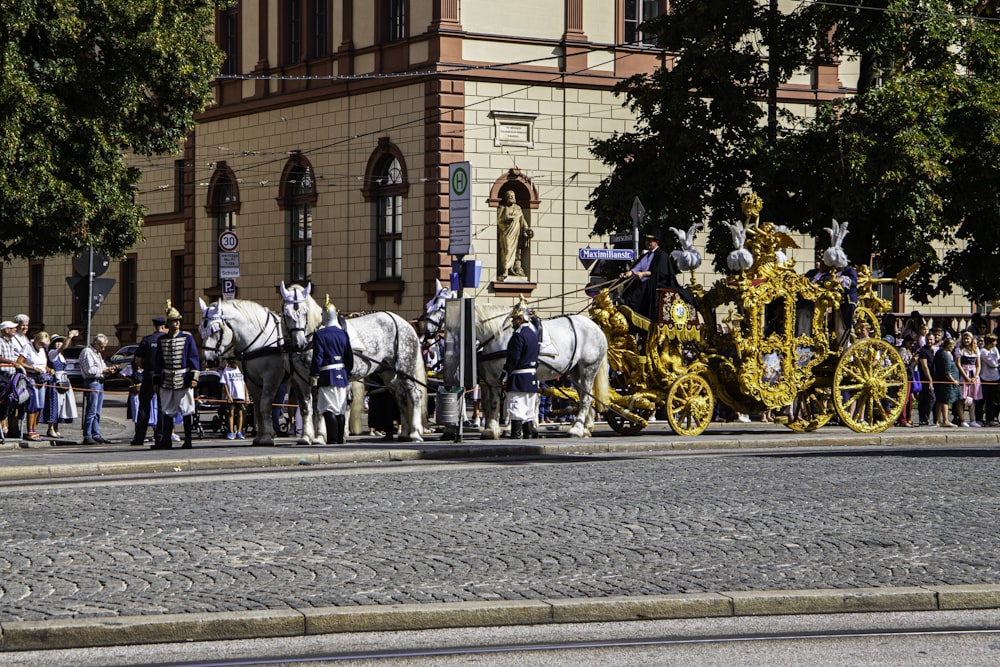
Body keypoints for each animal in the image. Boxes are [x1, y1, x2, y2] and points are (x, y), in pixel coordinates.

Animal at [200, 298, 316, 446]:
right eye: (201, 330)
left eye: (215, 329)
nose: (209, 361)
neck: (259, 341)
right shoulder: (251, 380)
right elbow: (257, 408)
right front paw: (260, 437)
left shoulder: (271, 378)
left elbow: (264, 405)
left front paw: (267, 437)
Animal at [280, 284, 428, 444]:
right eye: (286, 313)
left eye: (304, 312)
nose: (299, 344)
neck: (311, 338)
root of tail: (404, 323)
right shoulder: (299, 381)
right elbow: (305, 408)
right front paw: (306, 437)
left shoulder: (317, 378)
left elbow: (319, 408)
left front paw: (319, 437)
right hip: (389, 373)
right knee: (401, 398)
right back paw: (405, 433)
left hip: (406, 370)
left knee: (415, 395)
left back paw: (415, 433)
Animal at [422, 284, 608, 440]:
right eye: (428, 304)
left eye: (442, 306)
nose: (426, 331)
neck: (495, 334)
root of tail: (596, 327)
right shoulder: (490, 378)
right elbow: (492, 404)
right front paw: (493, 429)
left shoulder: (503, 375)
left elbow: (506, 403)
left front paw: (501, 429)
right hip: (574, 371)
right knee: (585, 396)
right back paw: (586, 427)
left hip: (588, 368)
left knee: (585, 398)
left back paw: (577, 429)